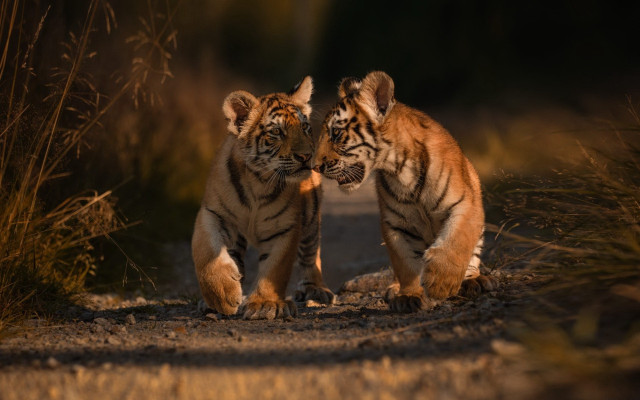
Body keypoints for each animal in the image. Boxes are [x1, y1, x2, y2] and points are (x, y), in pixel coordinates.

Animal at [191, 76, 334, 320]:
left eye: (305, 127)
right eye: (277, 132)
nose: (307, 157)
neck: (258, 181)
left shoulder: (286, 227)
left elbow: (275, 268)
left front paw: (265, 304)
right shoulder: (213, 213)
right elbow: (205, 250)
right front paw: (222, 296)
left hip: (311, 218)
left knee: (311, 253)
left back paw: (316, 289)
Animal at [314, 71, 497, 313]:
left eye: (335, 133)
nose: (315, 166)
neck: (399, 168)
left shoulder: (464, 204)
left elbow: (456, 241)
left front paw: (441, 283)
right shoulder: (396, 224)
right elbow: (406, 264)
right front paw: (409, 296)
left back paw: (475, 281)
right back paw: (394, 290)